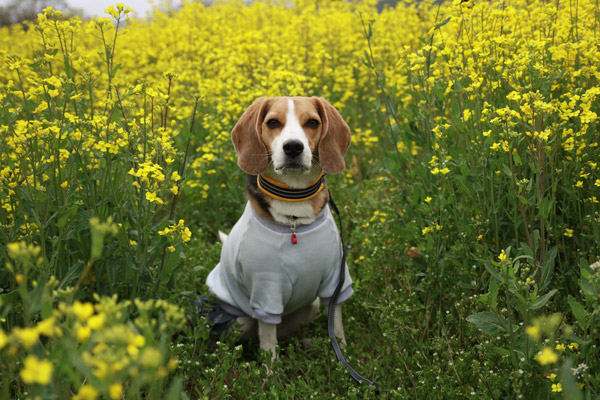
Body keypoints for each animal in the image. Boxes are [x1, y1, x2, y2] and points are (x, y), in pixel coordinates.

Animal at [205, 97, 352, 360]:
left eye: (312, 122)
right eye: (273, 122)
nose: (293, 147)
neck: (294, 213)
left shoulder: (336, 281)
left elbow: (336, 328)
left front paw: (341, 359)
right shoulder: (266, 291)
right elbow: (268, 345)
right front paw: (270, 370)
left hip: (311, 305)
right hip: (238, 320)